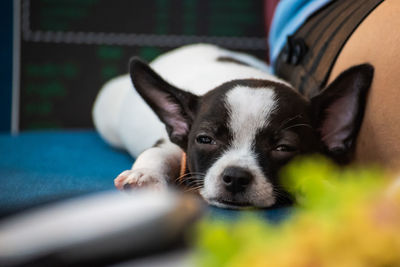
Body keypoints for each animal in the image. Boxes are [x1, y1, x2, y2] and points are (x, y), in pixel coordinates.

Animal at [92, 44, 374, 210]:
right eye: (205, 140)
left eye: (284, 148)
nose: (236, 176)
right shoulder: (172, 144)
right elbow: (158, 153)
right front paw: (145, 176)